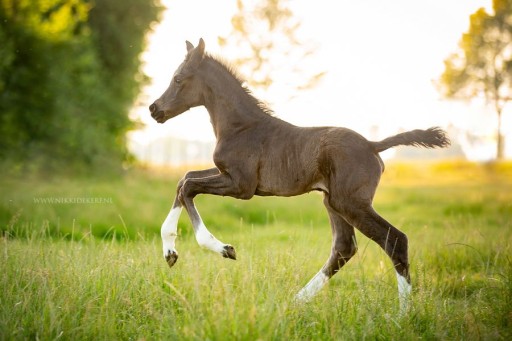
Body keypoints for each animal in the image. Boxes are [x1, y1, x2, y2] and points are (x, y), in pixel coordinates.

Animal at [148, 37, 448, 308]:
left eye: (178, 78)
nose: (154, 109)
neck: (241, 126)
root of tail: (373, 145)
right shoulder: (225, 173)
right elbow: (184, 179)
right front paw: (170, 253)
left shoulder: (241, 186)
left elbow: (189, 187)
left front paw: (224, 249)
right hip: (333, 202)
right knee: (344, 248)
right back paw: (296, 301)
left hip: (350, 203)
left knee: (394, 240)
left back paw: (403, 315)